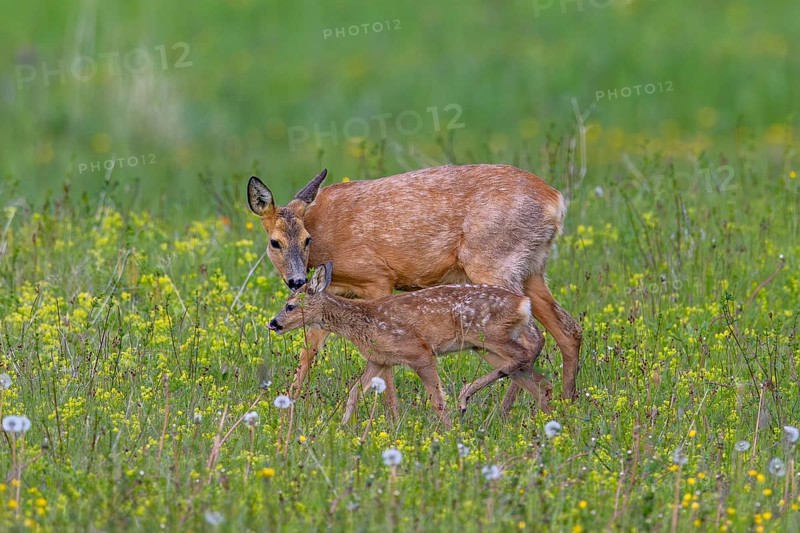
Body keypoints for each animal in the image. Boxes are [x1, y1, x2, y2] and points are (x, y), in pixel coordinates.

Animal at [267, 261, 551, 427]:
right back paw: (546, 420)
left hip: (490, 335)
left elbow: (437, 399)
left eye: (290, 306)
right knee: (540, 381)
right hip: (484, 346)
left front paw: (448, 432)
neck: (362, 323)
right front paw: (342, 427)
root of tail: (524, 303)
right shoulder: (378, 358)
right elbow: (355, 391)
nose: (273, 323)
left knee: (527, 353)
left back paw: (465, 395)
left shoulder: (419, 352)